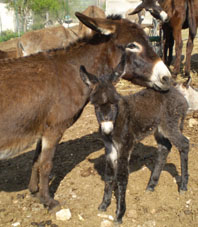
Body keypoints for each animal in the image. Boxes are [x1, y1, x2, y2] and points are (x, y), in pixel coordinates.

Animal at [79, 65, 189, 223]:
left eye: (114, 103)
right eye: (96, 105)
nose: (107, 129)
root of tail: (178, 94)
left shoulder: (125, 147)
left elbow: (122, 177)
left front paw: (119, 214)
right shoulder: (110, 149)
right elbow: (109, 175)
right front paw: (104, 204)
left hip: (169, 125)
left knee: (184, 144)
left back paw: (183, 186)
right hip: (159, 129)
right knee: (165, 148)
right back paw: (151, 185)